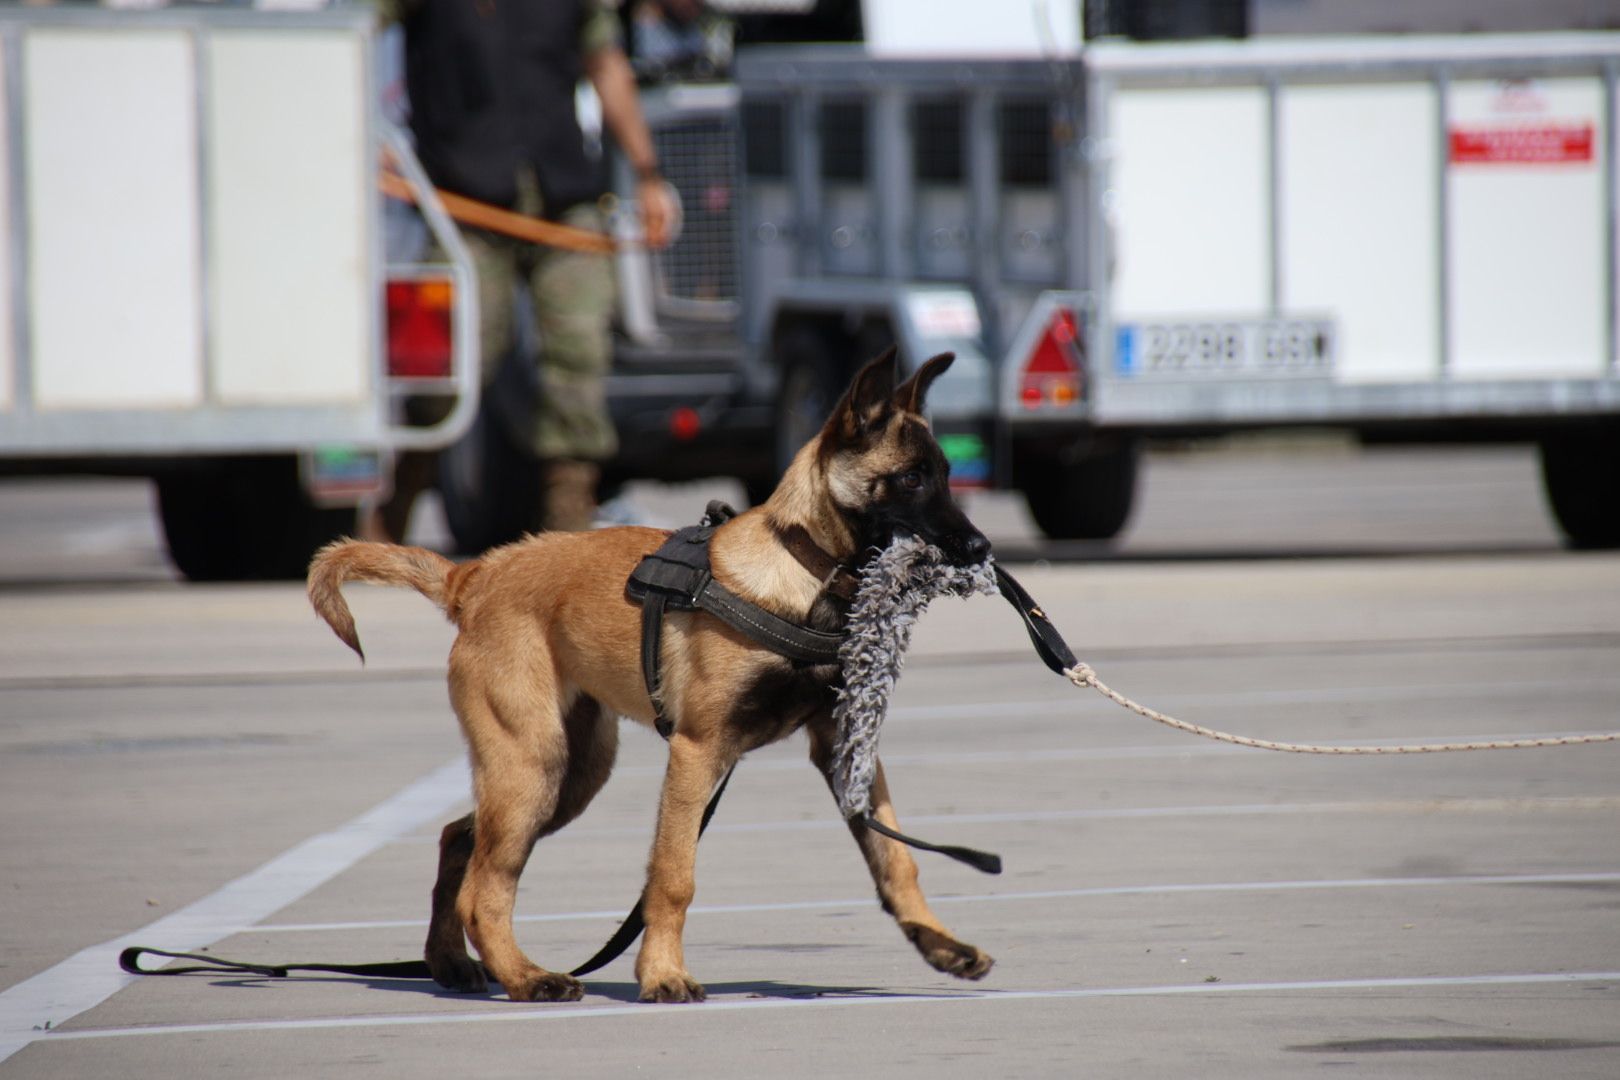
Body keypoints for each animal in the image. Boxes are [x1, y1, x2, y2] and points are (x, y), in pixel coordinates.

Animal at [304, 348, 984, 1003]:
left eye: (948, 476)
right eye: (912, 478)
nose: (979, 549)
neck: (800, 570)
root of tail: (474, 576)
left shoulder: (844, 749)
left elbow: (895, 855)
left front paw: (937, 943)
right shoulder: (697, 751)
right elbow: (673, 876)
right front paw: (662, 975)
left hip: (567, 774)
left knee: (458, 840)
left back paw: (450, 962)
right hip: (532, 764)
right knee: (484, 888)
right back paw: (526, 977)